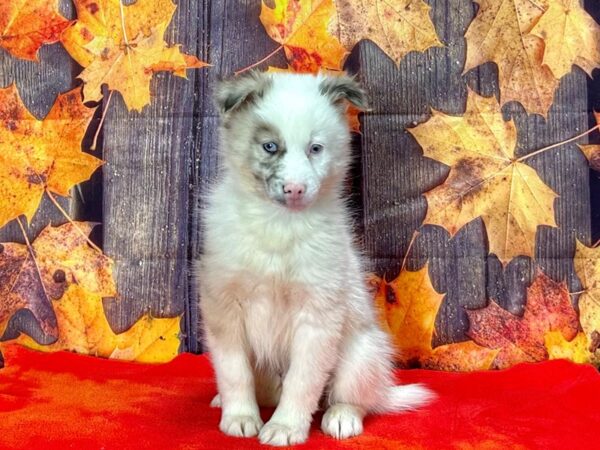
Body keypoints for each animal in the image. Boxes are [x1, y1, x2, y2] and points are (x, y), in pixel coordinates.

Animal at [198, 72, 436, 444]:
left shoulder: (318, 314)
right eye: (270, 146)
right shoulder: (223, 305)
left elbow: (303, 379)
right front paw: (239, 416)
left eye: (315, 148)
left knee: (353, 397)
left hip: (362, 353)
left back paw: (342, 417)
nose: (295, 189)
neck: (279, 224)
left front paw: (285, 427)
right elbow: (234, 371)